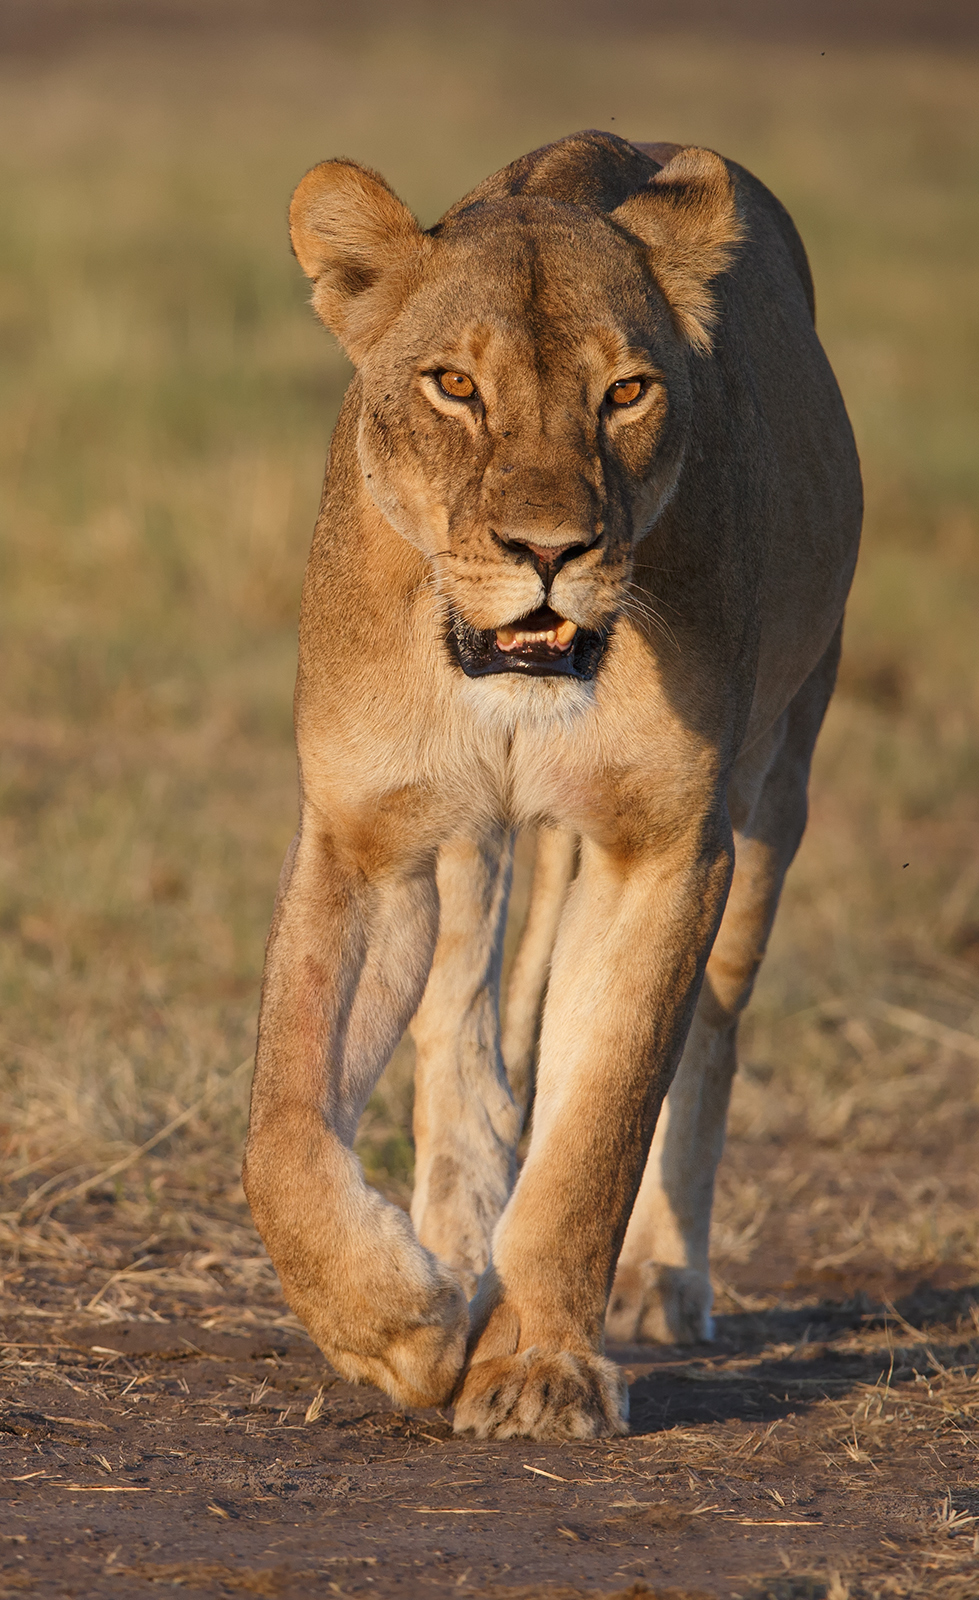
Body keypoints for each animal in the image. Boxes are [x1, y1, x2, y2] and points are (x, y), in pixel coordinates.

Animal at [242, 131, 861, 1441]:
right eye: (453, 386)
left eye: (625, 392)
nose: (547, 553)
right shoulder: (363, 837)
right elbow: (280, 1128)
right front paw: (404, 1324)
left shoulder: (667, 844)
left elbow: (600, 1124)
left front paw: (539, 1367)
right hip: (469, 843)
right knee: (464, 1024)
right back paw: (452, 1233)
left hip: (779, 780)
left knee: (707, 1039)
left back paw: (660, 1280)